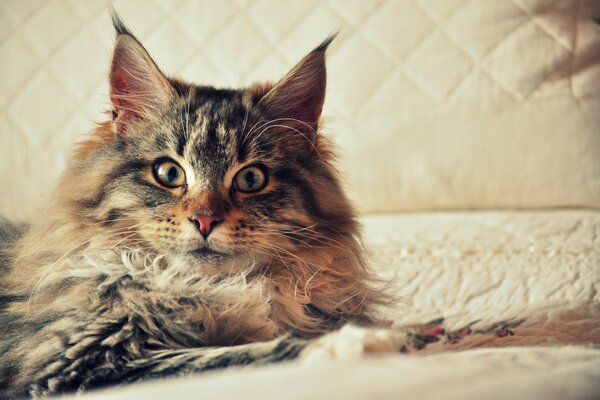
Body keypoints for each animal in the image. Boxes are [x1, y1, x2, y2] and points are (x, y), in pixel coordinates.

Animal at [1, 10, 404, 398]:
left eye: (251, 179)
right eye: (168, 173)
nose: (205, 220)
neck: (203, 287)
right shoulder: (76, 363)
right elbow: (229, 355)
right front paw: (365, 342)